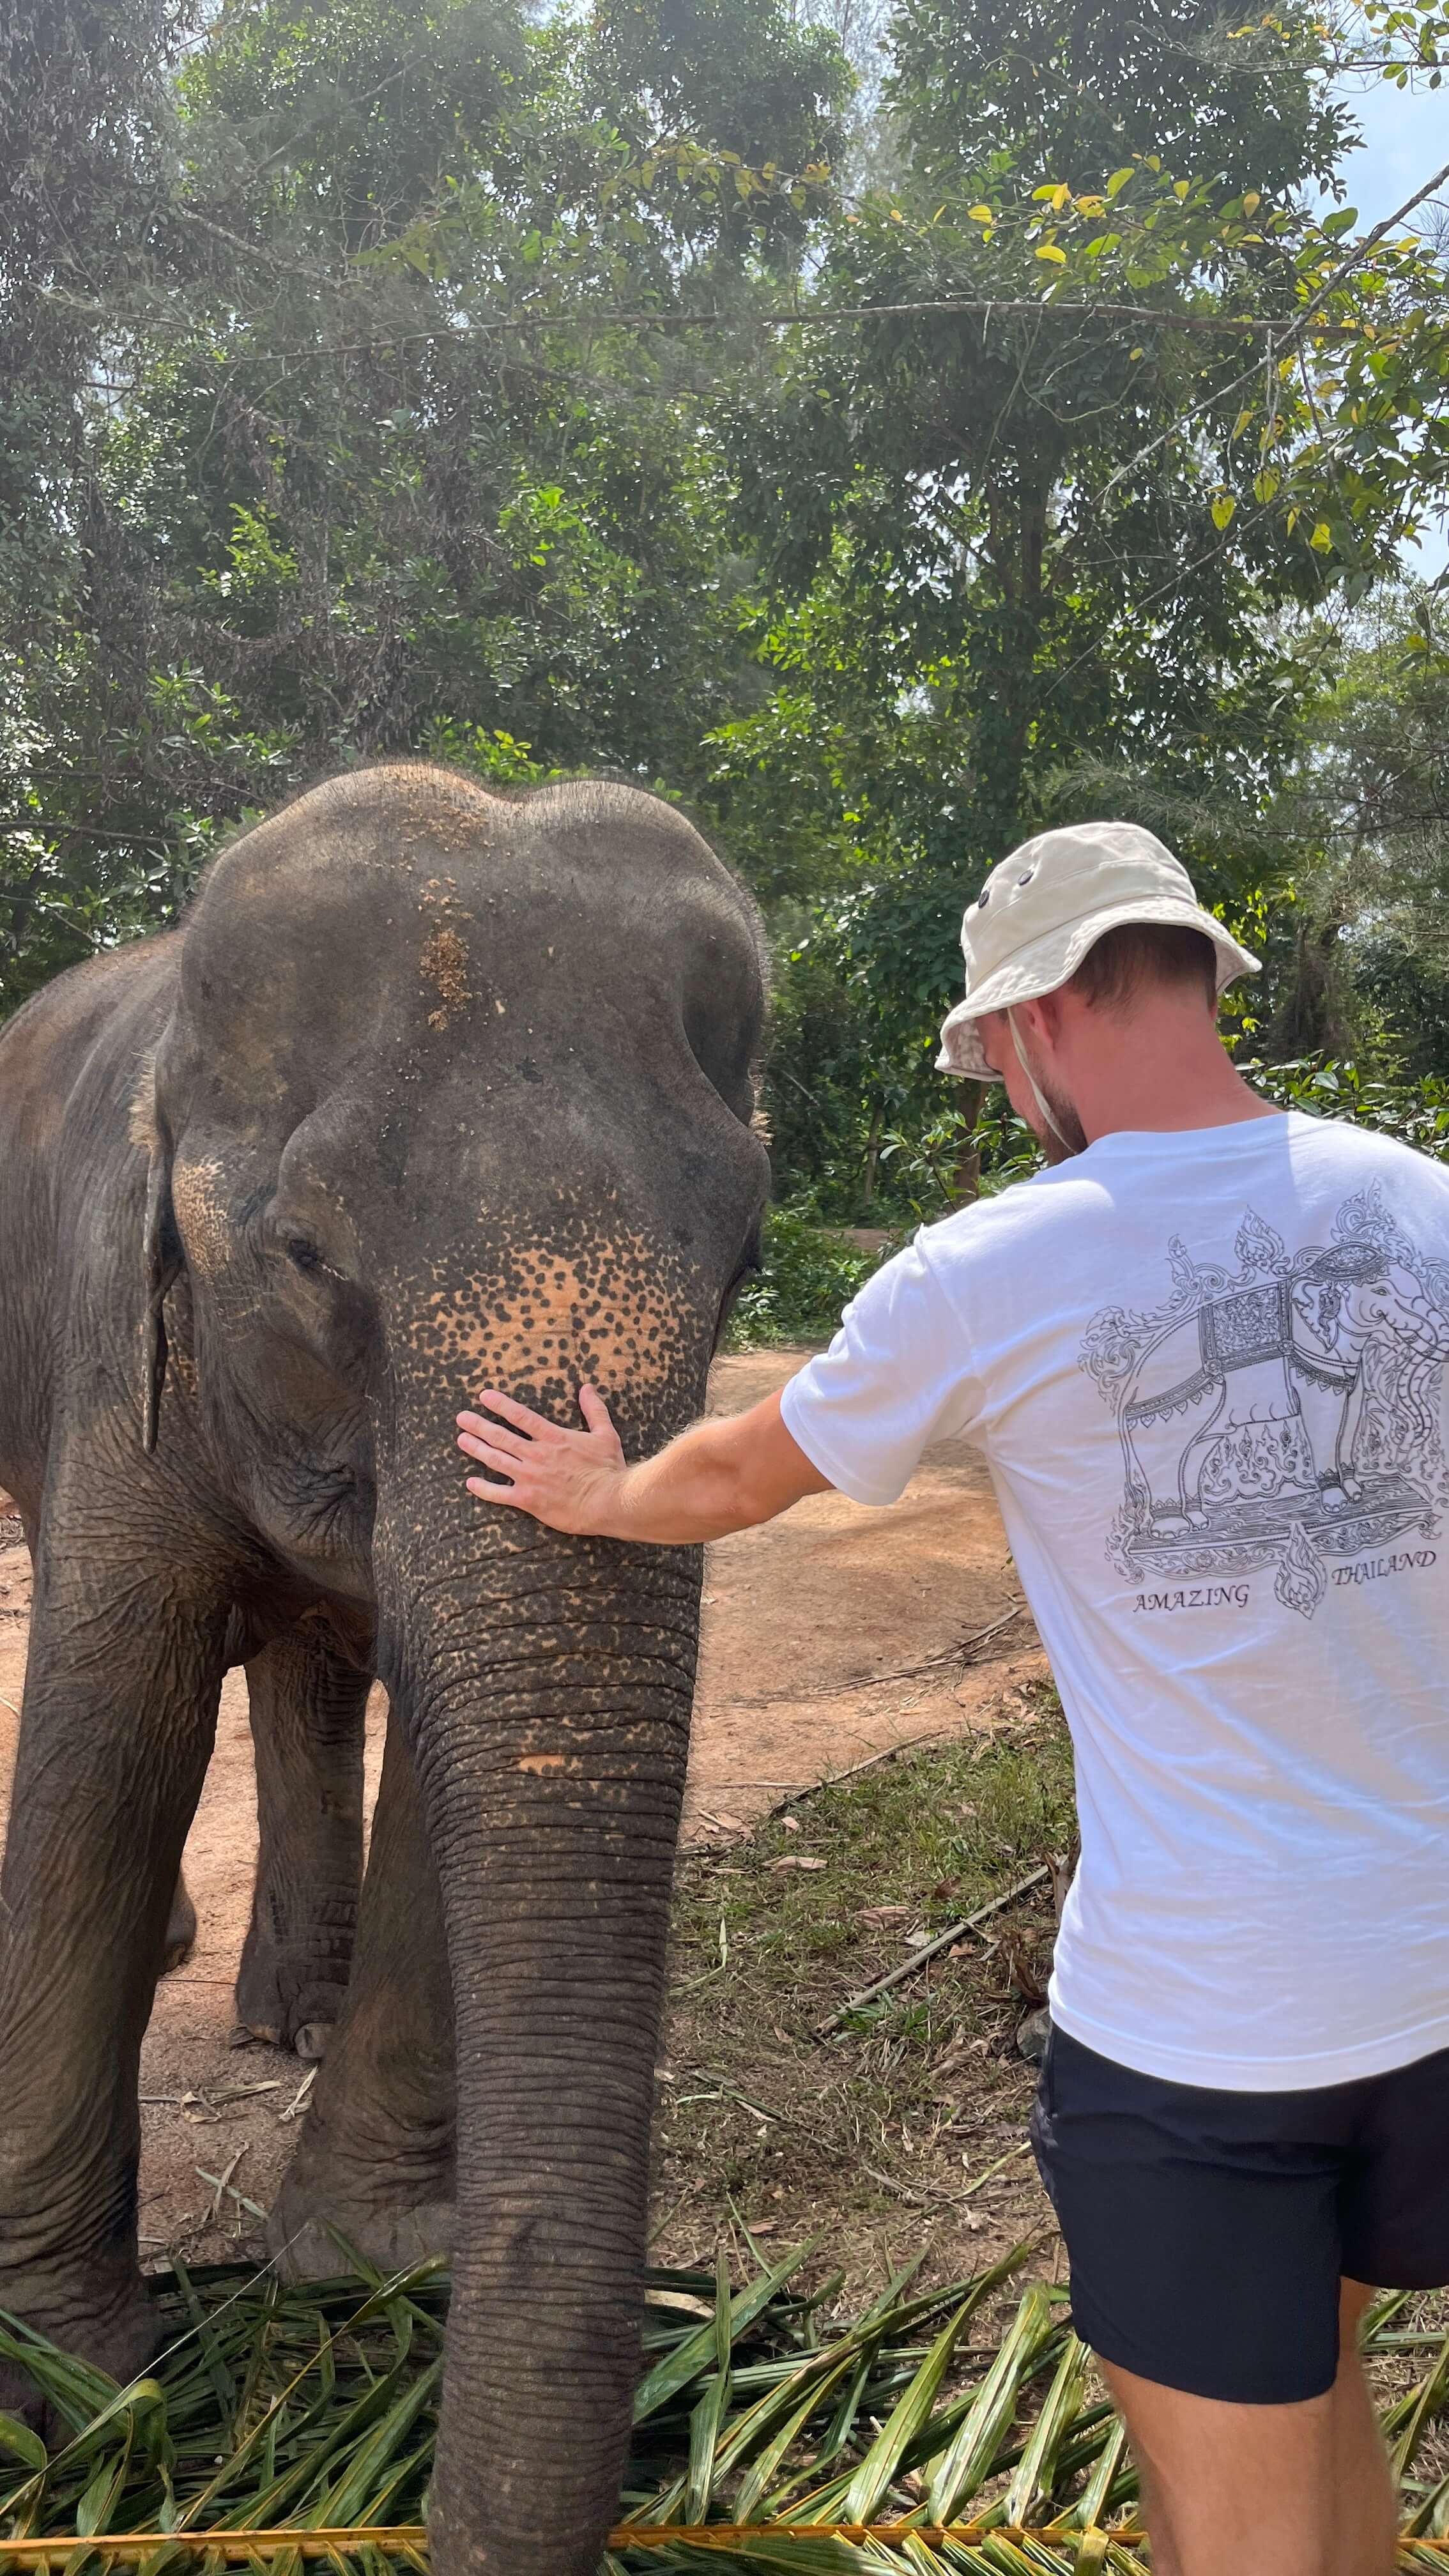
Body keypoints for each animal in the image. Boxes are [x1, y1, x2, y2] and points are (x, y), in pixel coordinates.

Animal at [0, 764, 768, 2576]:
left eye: (748, 1259)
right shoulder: (113, 1335)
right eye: (305, 1254)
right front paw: (62, 2397)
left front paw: (366, 2269)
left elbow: (444, 1743)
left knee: (309, 1661)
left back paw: (291, 2011)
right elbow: (104, 1740)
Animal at [1120, 1242, 1449, 1539]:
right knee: (1167, 1455)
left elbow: (1350, 1418)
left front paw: (1355, 1494)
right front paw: (1336, 1505)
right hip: (1161, 1409)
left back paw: (1199, 1523)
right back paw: (1171, 1531)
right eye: (1382, 1292)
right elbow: (1326, 1419)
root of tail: (1131, 1384)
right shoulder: (1310, 1359)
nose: (1407, 1442)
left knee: (1195, 1451)